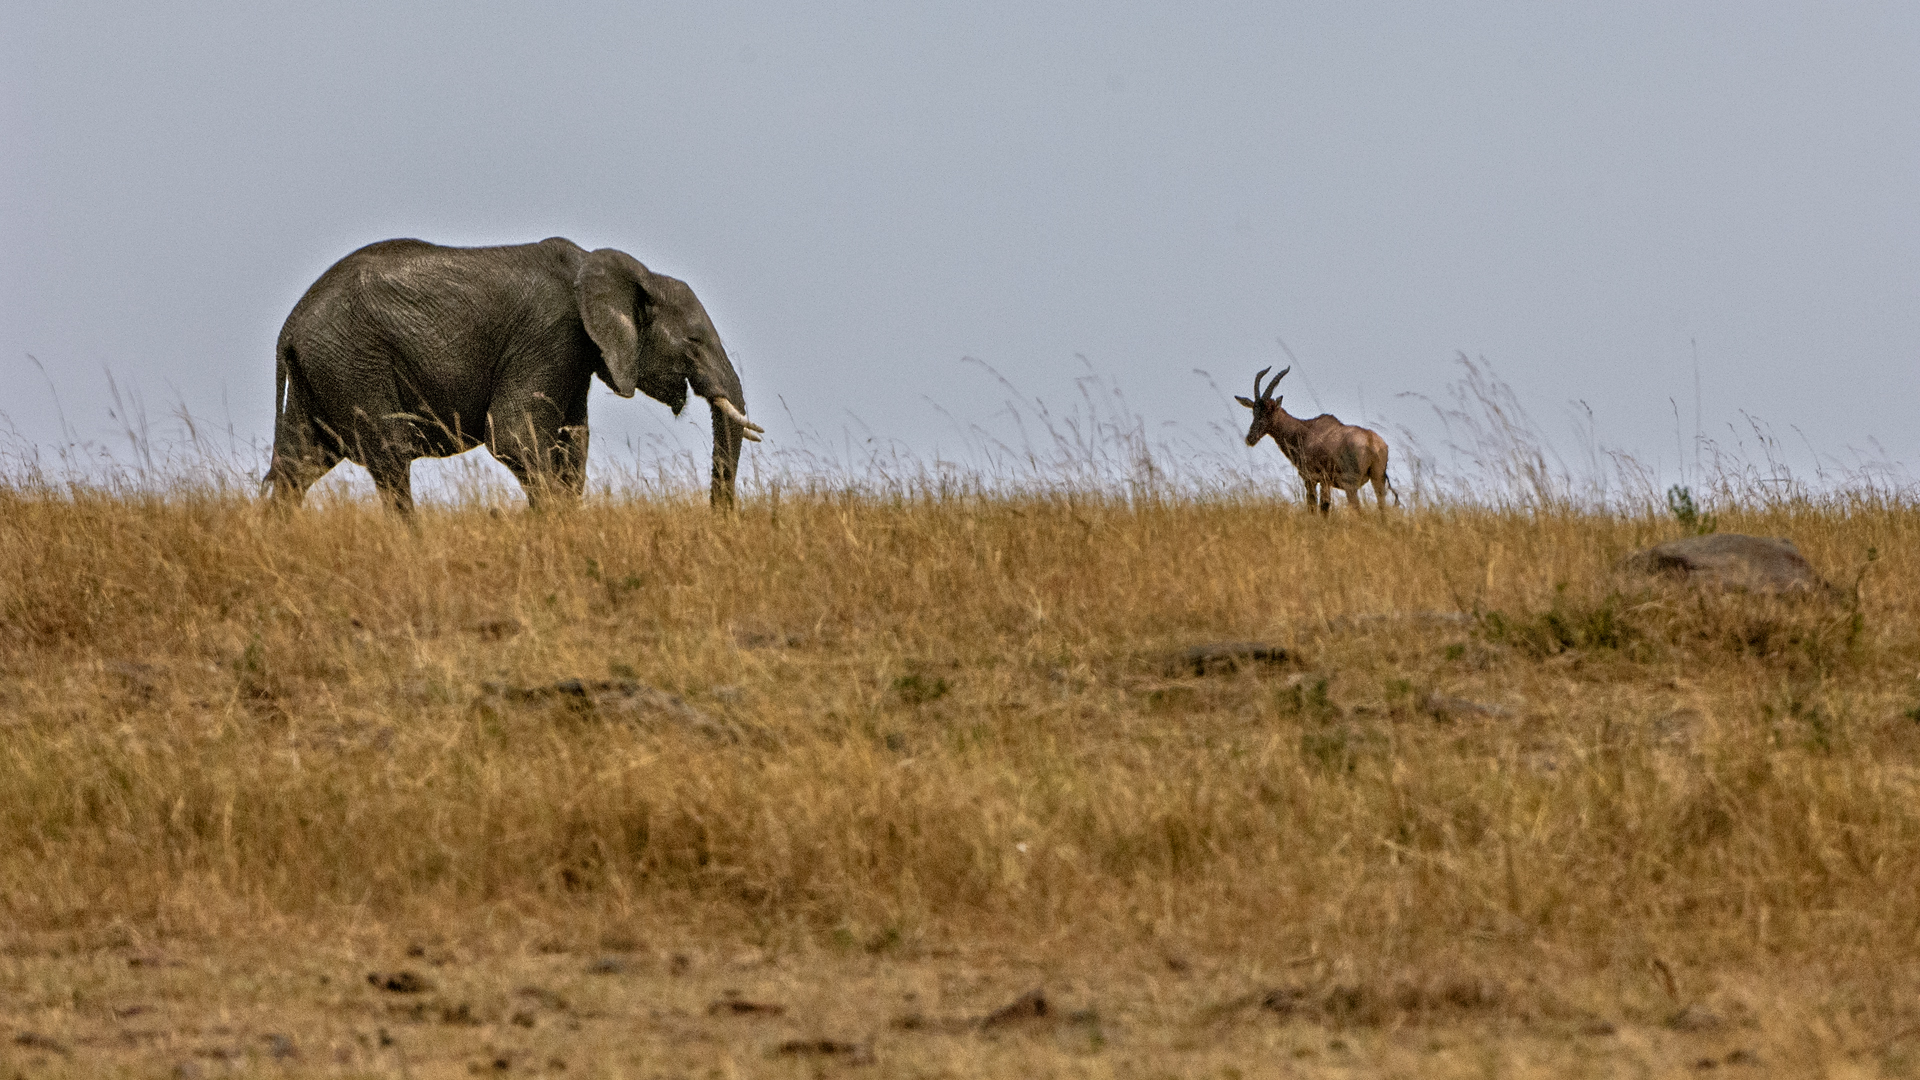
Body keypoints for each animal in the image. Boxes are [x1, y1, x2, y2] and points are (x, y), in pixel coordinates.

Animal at [263, 238, 756, 511]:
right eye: (694, 341)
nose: (718, 517)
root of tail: (289, 327)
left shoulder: (575, 356)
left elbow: (573, 445)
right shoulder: (549, 335)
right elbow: (514, 435)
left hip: (322, 371)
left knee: (297, 465)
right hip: (353, 361)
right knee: (390, 458)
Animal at [1244, 363, 1397, 511]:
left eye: (1269, 410)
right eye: (1254, 410)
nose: (1250, 438)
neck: (1307, 430)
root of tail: (1372, 442)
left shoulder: (1312, 479)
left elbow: (1314, 507)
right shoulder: (1325, 482)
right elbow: (1325, 507)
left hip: (1351, 485)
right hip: (1378, 479)